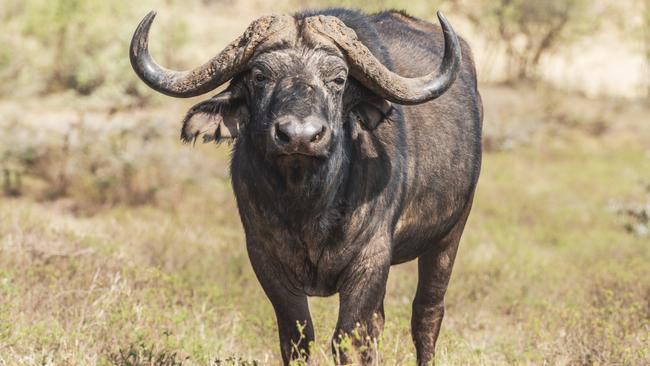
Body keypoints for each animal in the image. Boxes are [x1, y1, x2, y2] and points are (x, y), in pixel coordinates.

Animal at [129, 7, 480, 364]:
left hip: (450, 234)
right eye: (260, 77)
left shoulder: (371, 259)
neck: (308, 205)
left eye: (338, 79)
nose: (300, 136)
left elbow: (349, 339)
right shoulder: (266, 260)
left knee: (427, 314)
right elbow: (298, 337)